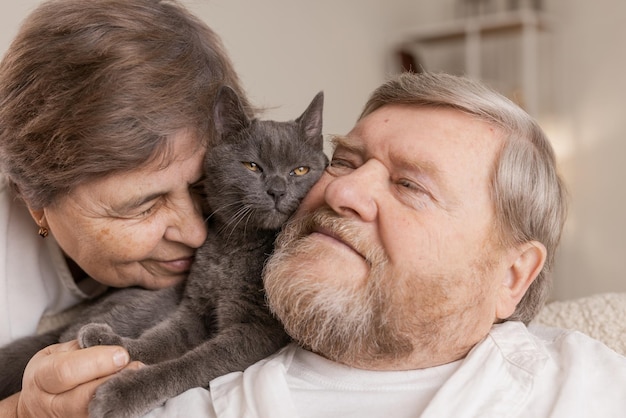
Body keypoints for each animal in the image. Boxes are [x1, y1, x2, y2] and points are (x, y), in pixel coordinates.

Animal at [1, 85, 326, 418]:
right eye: (252, 166)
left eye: (300, 170)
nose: (277, 191)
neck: (233, 248)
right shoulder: (193, 308)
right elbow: (160, 339)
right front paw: (113, 346)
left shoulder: (256, 332)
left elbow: (193, 364)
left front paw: (122, 393)